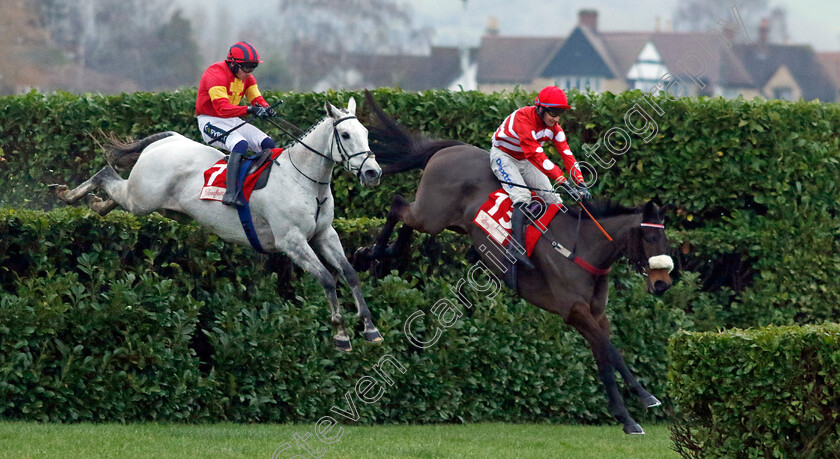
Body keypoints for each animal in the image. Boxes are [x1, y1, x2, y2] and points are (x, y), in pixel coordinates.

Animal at [54, 98, 388, 352]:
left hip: (148, 201)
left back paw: (96, 204)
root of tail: (168, 139)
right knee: (105, 175)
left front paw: (370, 328)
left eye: (366, 132)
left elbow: (350, 273)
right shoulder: (291, 241)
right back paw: (69, 194)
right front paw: (341, 334)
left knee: (112, 193)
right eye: (345, 135)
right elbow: (327, 279)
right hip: (142, 198)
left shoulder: (324, 234)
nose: (373, 173)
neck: (302, 180)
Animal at [356, 90, 676, 434]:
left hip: (444, 220)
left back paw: (385, 254)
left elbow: (607, 359)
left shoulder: (595, 314)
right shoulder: (575, 311)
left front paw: (633, 411)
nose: (662, 283)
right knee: (397, 204)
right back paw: (372, 252)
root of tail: (450, 149)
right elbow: (611, 352)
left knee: (407, 221)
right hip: (433, 212)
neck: (582, 249)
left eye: (666, 238)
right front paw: (640, 404)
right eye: (649, 237)